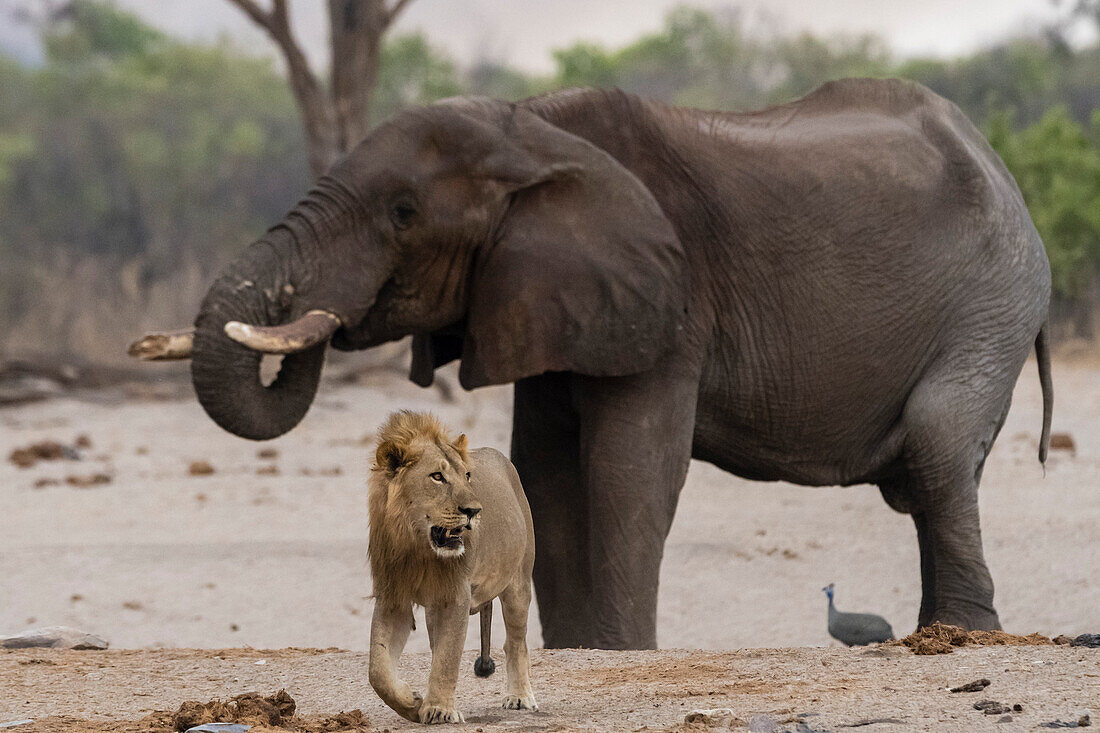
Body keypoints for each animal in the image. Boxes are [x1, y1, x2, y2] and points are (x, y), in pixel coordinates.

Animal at [178, 79, 1047, 647]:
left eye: (403, 212)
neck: (534, 130)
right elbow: (547, 473)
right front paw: (580, 651)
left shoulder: (672, 301)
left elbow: (627, 473)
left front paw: (622, 650)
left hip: (994, 298)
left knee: (936, 445)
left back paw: (961, 636)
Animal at [369, 407, 536, 721]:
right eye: (437, 477)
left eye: (467, 476)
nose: (474, 511)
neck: (418, 548)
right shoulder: (392, 597)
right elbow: (378, 670)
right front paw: (411, 702)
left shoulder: (456, 596)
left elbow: (447, 659)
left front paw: (439, 709)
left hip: (519, 583)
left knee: (516, 642)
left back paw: (520, 696)